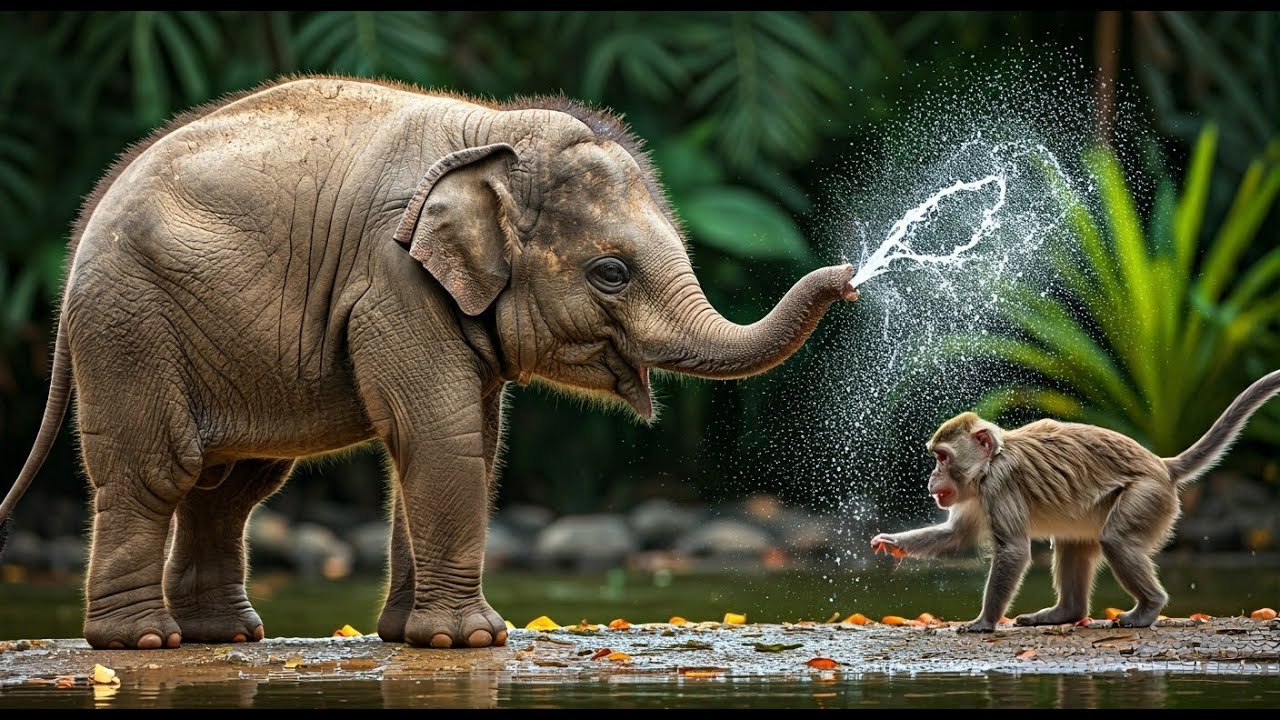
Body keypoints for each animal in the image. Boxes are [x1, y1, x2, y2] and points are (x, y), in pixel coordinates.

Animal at [0, 76, 857, 650]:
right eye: (610, 273)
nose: (851, 277)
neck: (497, 131)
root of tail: (81, 228)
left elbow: (466, 439)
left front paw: (412, 637)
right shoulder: (393, 279)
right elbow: (441, 437)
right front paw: (472, 640)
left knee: (232, 484)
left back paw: (227, 638)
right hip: (129, 324)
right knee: (156, 472)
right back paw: (142, 643)